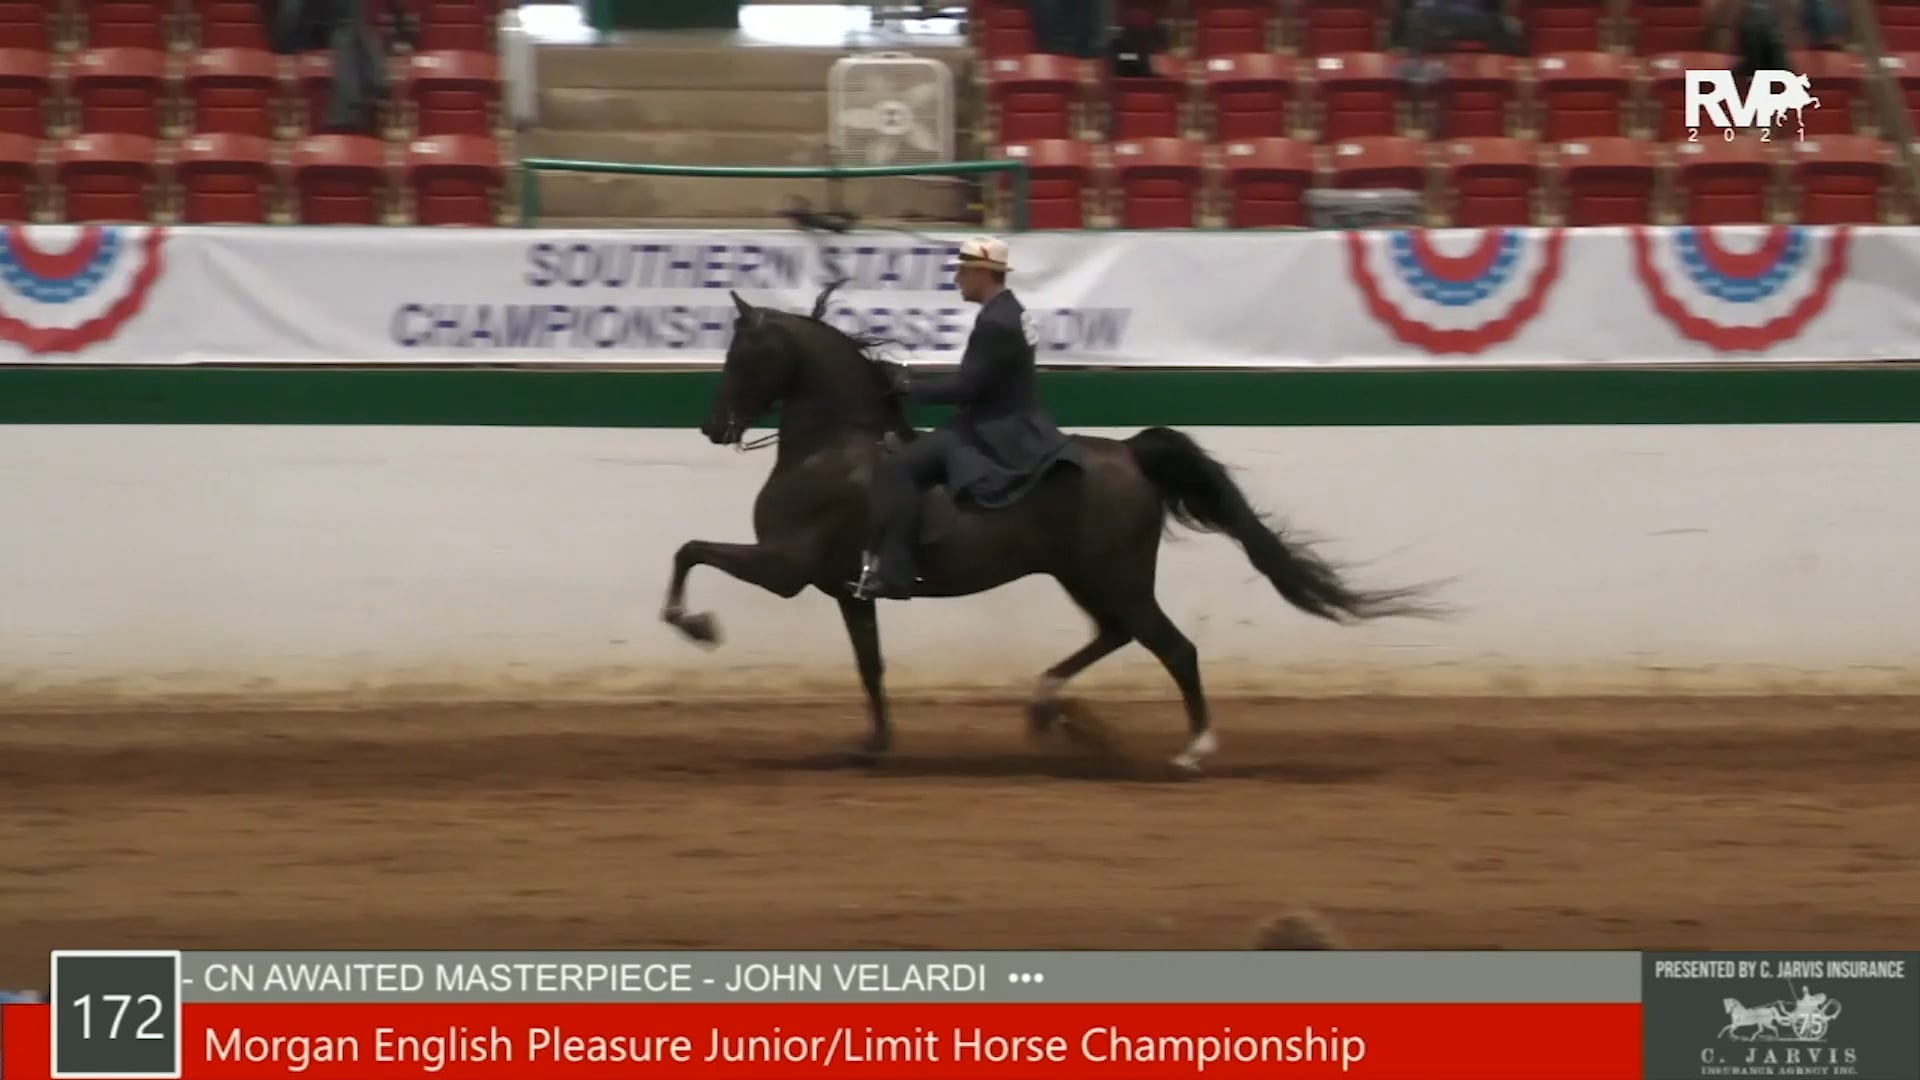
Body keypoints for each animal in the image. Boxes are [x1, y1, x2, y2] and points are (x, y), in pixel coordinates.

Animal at [659, 283, 1444, 772]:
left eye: (744, 354)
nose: (712, 426)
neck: (832, 448)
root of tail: (1131, 453)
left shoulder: (784, 567)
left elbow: (690, 550)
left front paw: (697, 626)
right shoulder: (848, 591)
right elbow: (870, 666)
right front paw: (874, 745)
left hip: (1115, 577)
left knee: (1174, 648)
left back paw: (1193, 750)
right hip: (1086, 576)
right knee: (1117, 636)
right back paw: (1047, 706)